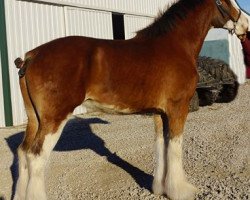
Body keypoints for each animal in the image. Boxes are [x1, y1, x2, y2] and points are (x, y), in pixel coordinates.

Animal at [13, 0, 248, 200]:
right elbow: (175, 147)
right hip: (53, 119)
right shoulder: (177, 110)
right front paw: (181, 190)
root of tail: (31, 56)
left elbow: (161, 146)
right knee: (36, 157)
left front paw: (160, 188)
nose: (245, 25)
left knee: (23, 153)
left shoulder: (159, 113)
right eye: (228, 1)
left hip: (34, 119)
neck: (175, 45)